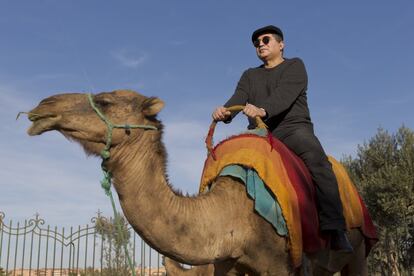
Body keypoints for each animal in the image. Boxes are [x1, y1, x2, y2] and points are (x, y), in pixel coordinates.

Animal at [25, 89, 368, 274]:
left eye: (106, 101)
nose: (44, 106)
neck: (232, 213)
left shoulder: (280, 266)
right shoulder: (226, 264)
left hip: (358, 251)